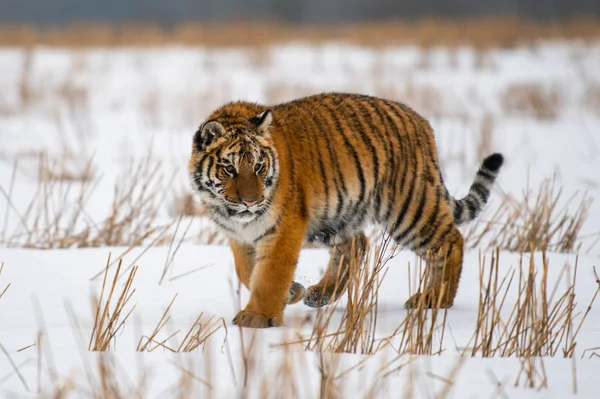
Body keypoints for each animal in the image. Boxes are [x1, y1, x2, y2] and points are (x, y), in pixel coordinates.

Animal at [186, 93, 502, 328]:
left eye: (259, 166)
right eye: (230, 168)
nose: (251, 202)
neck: (235, 215)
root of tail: (421, 122)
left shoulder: (283, 227)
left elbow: (269, 274)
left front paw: (257, 318)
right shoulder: (239, 236)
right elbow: (247, 271)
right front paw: (291, 292)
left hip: (408, 208)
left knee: (450, 242)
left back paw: (434, 300)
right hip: (336, 216)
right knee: (357, 244)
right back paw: (319, 294)